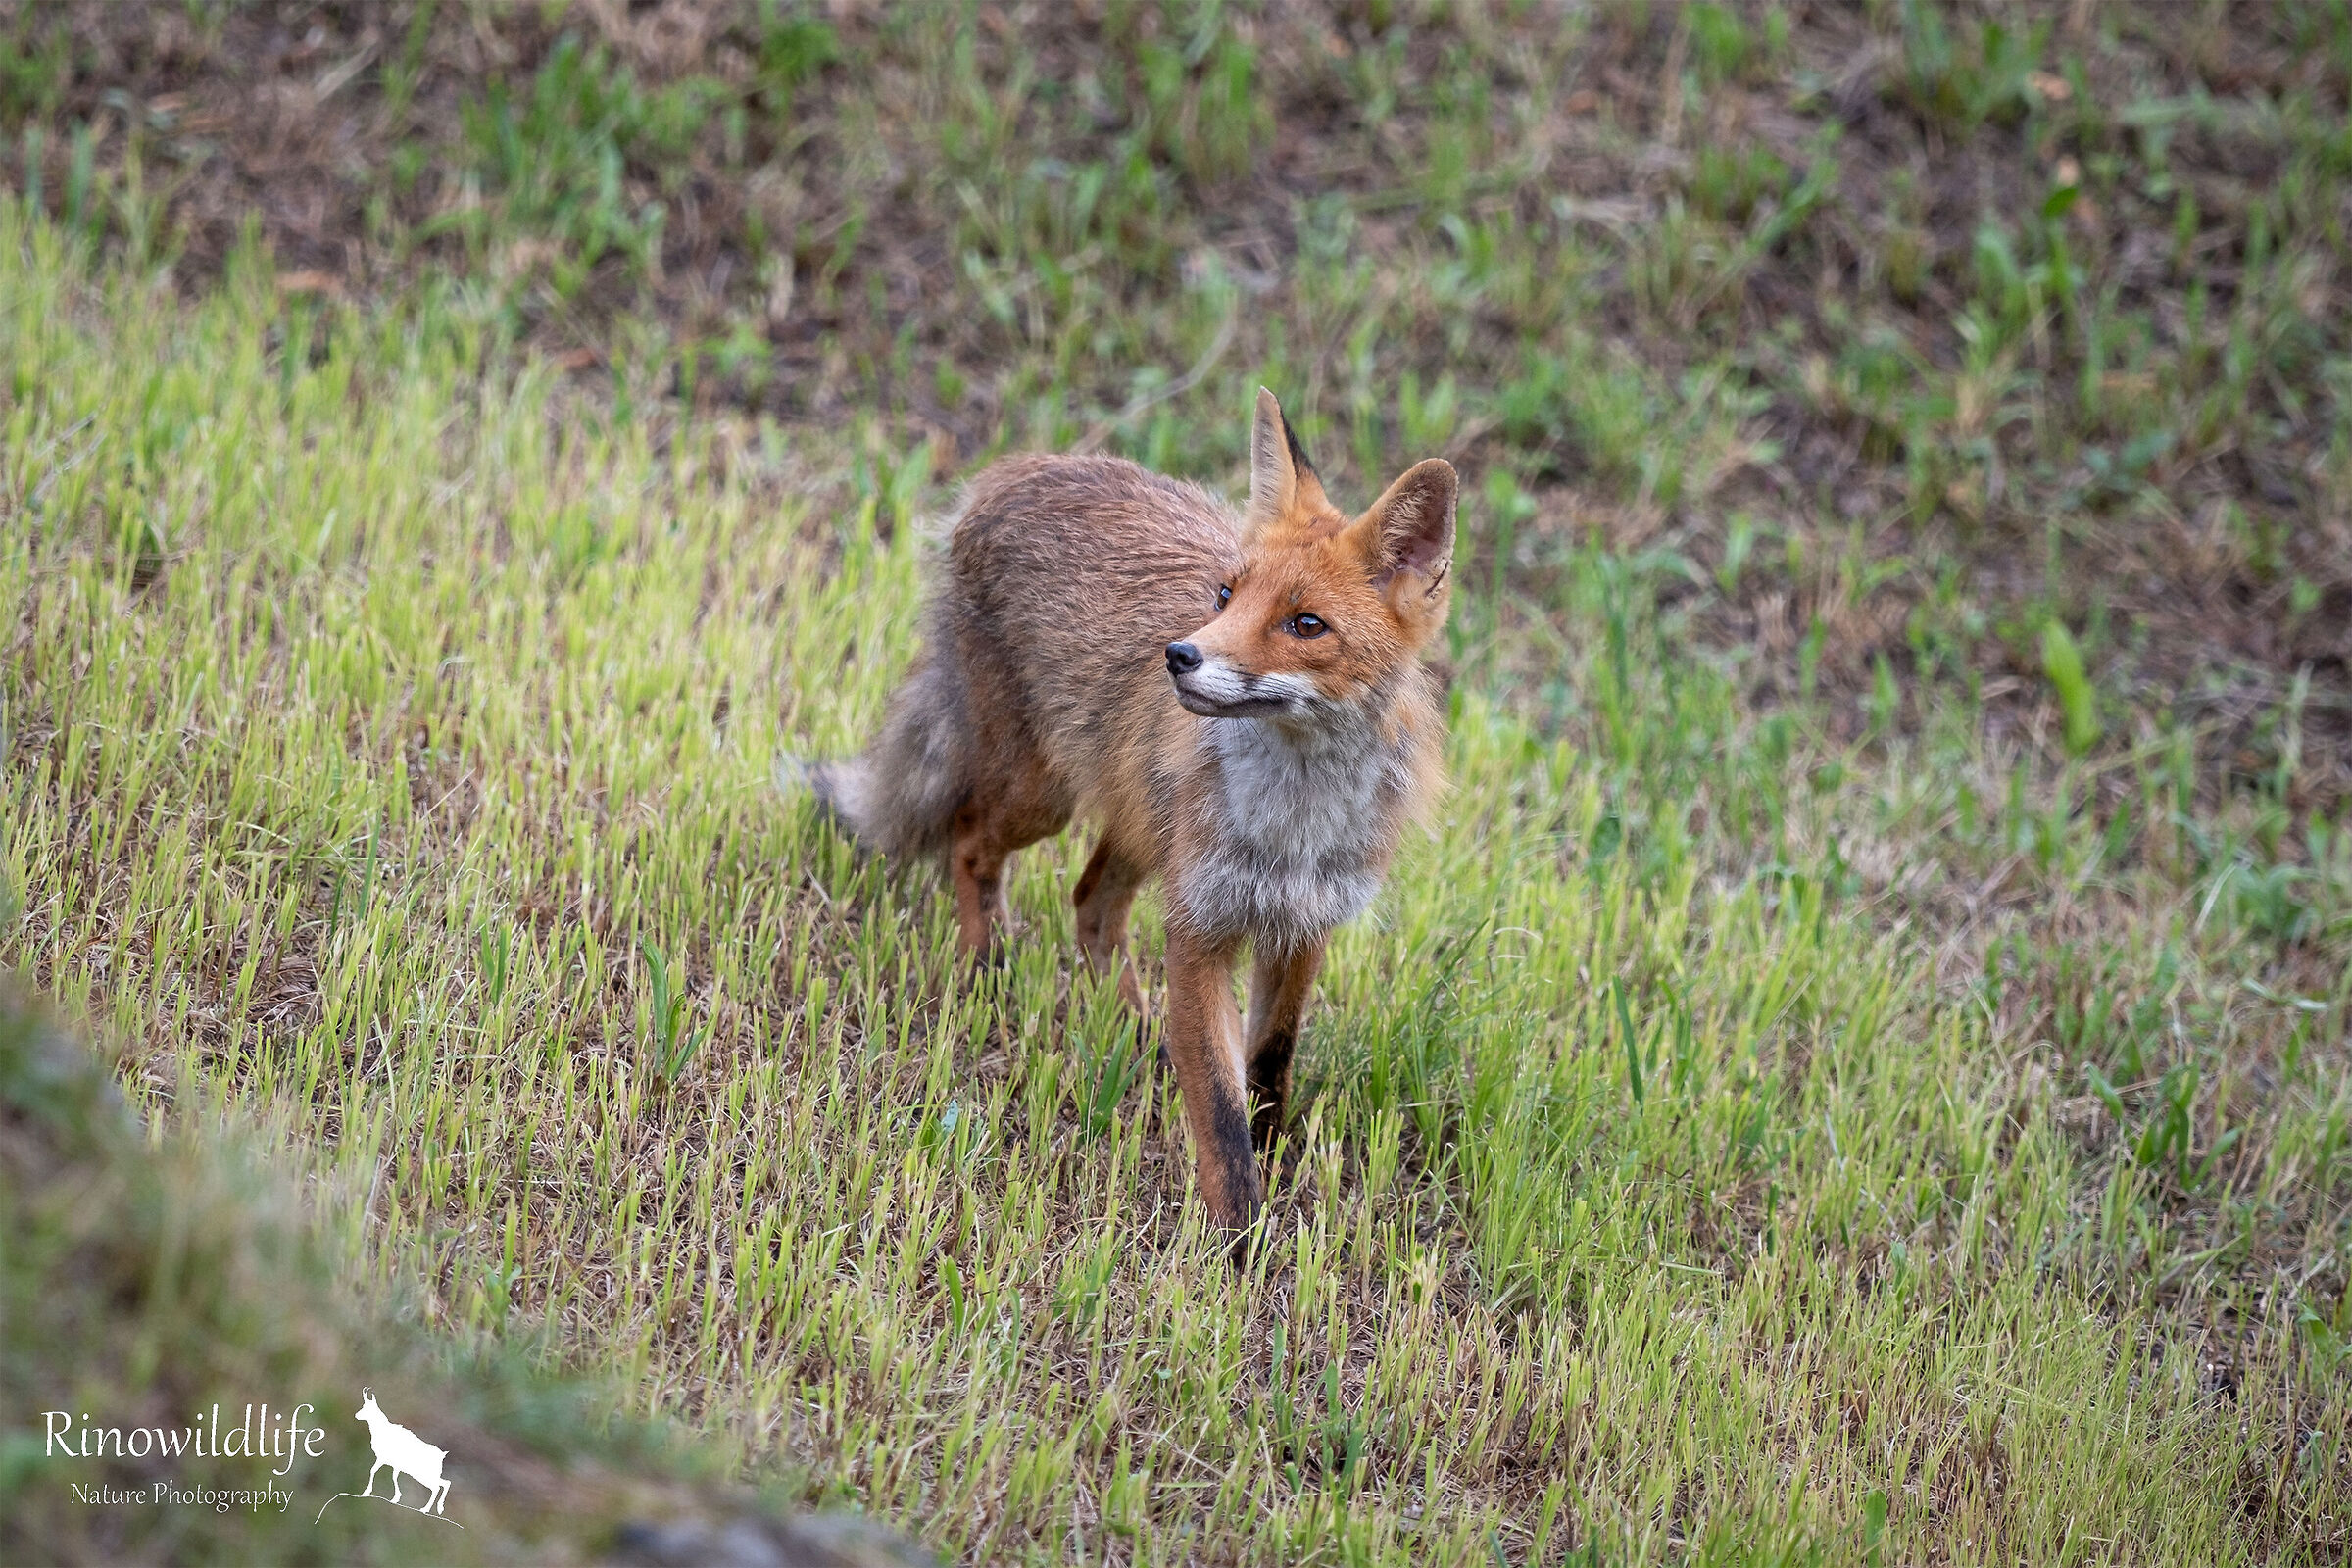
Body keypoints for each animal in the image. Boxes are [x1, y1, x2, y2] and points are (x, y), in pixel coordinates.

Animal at [797, 389, 1457, 1231]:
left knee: (1090, 903)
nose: (1179, 655)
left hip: (1142, 824)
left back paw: (1142, 1035)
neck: (1294, 826)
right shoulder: (1200, 928)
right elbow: (1220, 1117)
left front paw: (1276, 1172)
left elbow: (1268, 1068)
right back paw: (986, 972)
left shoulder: (1303, 928)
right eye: (1225, 596)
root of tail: (1021, 467)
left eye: (1306, 624)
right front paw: (1240, 1244)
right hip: (1042, 798)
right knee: (970, 844)